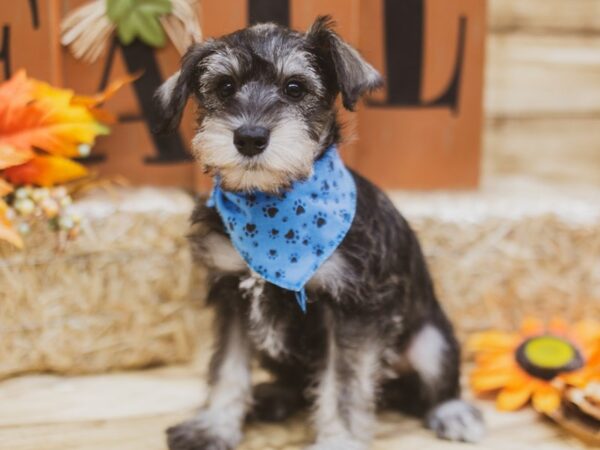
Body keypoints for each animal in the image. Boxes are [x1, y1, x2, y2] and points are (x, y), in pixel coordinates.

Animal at [155, 14, 482, 450]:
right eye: (224, 87)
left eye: (295, 88)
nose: (250, 138)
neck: (273, 202)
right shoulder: (232, 296)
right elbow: (227, 367)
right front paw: (214, 426)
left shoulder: (354, 311)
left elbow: (343, 387)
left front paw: (339, 438)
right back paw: (272, 396)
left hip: (430, 339)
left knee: (436, 382)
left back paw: (453, 412)